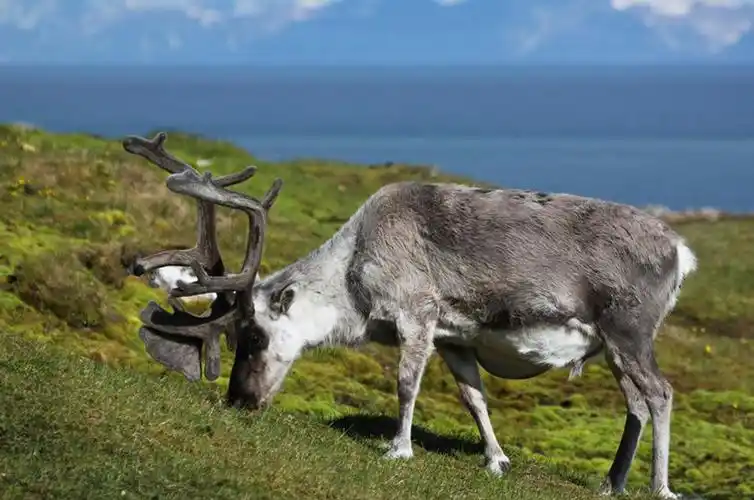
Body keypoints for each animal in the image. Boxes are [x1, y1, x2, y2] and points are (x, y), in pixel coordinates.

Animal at [123, 132, 697, 500]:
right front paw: (496, 460)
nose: (241, 400)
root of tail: (681, 252)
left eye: (255, 336)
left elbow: (405, 383)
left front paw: (399, 449)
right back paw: (612, 482)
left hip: (630, 331)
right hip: (611, 346)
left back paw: (659, 487)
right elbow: (474, 398)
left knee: (662, 393)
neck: (354, 272)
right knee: (637, 404)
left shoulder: (416, 312)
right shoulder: (455, 338)